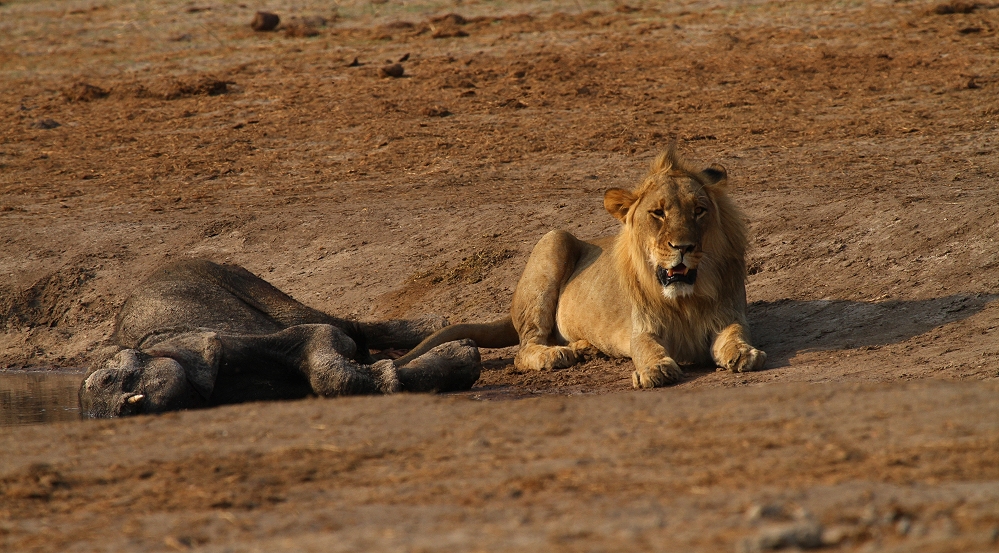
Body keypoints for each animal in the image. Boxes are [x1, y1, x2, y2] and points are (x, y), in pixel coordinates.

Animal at [80, 260, 482, 416]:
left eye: (111, 377)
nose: (116, 408)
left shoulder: (225, 341)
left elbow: (325, 342)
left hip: (238, 278)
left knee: (327, 320)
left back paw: (434, 326)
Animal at [394, 147, 768, 388]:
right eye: (658, 213)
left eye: (699, 210)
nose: (683, 247)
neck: (685, 299)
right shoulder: (641, 328)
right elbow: (645, 347)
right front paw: (655, 369)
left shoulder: (729, 314)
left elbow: (736, 333)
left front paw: (744, 353)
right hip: (554, 239)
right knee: (523, 350)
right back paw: (558, 355)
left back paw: (583, 348)